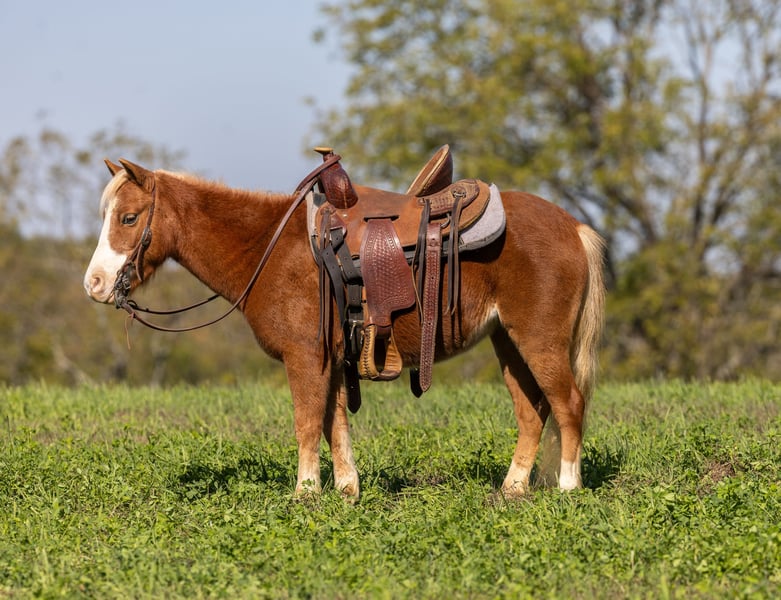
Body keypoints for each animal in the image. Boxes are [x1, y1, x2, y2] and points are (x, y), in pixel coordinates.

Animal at [83, 156, 605, 501]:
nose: (94, 284)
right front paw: (346, 489)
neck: (271, 248)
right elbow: (335, 422)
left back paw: (567, 487)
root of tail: (573, 227)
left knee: (568, 404)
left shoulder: (305, 357)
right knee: (532, 411)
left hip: (539, 340)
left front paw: (305, 493)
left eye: (128, 217)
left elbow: (307, 422)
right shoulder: (332, 360)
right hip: (508, 342)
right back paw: (512, 488)